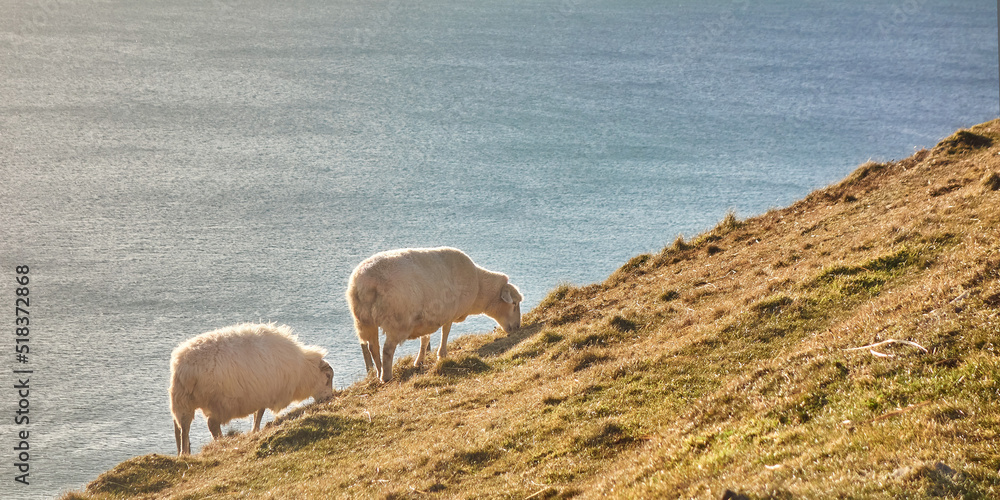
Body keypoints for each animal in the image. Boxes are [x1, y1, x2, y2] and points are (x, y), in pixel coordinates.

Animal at [169, 322, 335, 455]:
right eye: (328, 377)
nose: (329, 399)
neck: (303, 371)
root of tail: (186, 367)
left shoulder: (261, 394)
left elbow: (257, 414)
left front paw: (255, 430)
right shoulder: (266, 392)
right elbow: (259, 413)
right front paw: (255, 430)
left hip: (182, 399)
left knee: (183, 427)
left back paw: (184, 452)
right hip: (219, 402)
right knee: (211, 424)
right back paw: (221, 443)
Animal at [346, 246, 523, 383]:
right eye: (514, 304)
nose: (518, 327)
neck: (479, 288)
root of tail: (365, 284)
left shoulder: (427, 318)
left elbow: (425, 339)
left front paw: (420, 360)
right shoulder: (449, 312)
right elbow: (445, 332)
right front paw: (442, 355)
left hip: (364, 320)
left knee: (373, 348)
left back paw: (378, 372)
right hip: (397, 321)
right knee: (387, 350)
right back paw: (386, 376)